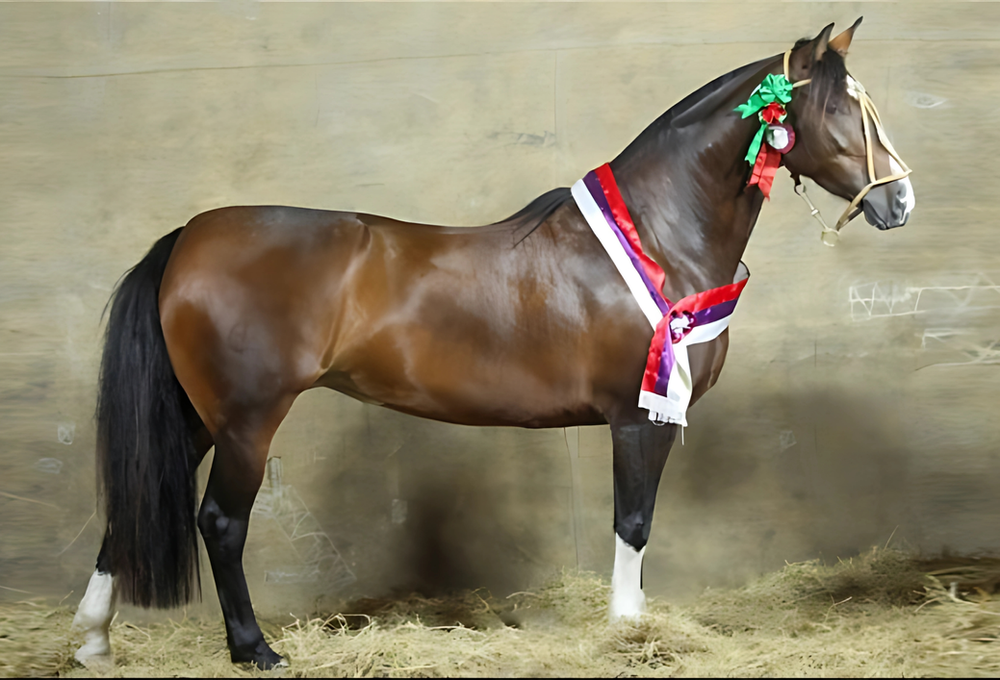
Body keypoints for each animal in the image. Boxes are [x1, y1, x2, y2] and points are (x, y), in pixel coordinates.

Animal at [72, 19, 914, 669]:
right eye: (837, 109)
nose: (901, 200)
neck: (658, 234)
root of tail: (190, 236)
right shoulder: (637, 417)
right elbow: (634, 523)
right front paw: (629, 632)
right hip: (247, 420)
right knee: (220, 523)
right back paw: (254, 650)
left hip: (195, 416)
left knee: (129, 511)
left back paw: (93, 643)